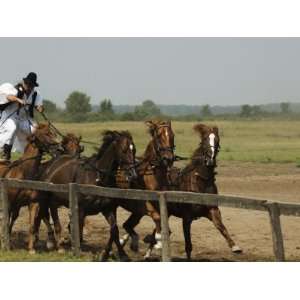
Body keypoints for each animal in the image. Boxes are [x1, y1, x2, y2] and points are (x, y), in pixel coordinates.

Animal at [27, 131, 136, 260]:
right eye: (124, 150)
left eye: (134, 150)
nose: (133, 174)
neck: (97, 177)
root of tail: (49, 166)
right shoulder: (80, 209)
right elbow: (77, 229)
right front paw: (76, 249)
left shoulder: (108, 209)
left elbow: (114, 230)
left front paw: (117, 254)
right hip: (49, 200)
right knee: (47, 217)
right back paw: (52, 244)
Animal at [115, 119, 176, 253]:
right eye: (159, 136)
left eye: (172, 135)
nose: (168, 158)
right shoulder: (146, 204)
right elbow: (158, 218)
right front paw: (158, 241)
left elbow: (165, 223)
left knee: (128, 224)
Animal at [145, 123, 241, 258]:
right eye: (205, 140)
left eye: (217, 140)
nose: (210, 160)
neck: (201, 183)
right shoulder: (186, 218)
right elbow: (188, 246)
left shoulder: (213, 210)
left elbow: (221, 226)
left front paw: (235, 246)